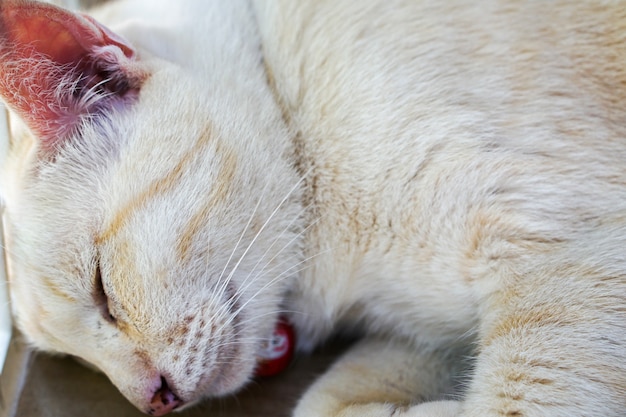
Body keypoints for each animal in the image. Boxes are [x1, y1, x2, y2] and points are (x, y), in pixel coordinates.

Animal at [1, 0, 624, 414]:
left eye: (103, 291)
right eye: (82, 363)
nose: (154, 401)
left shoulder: (559, 259)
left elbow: (510, 401)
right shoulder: (420, 334)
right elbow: (328, 402)